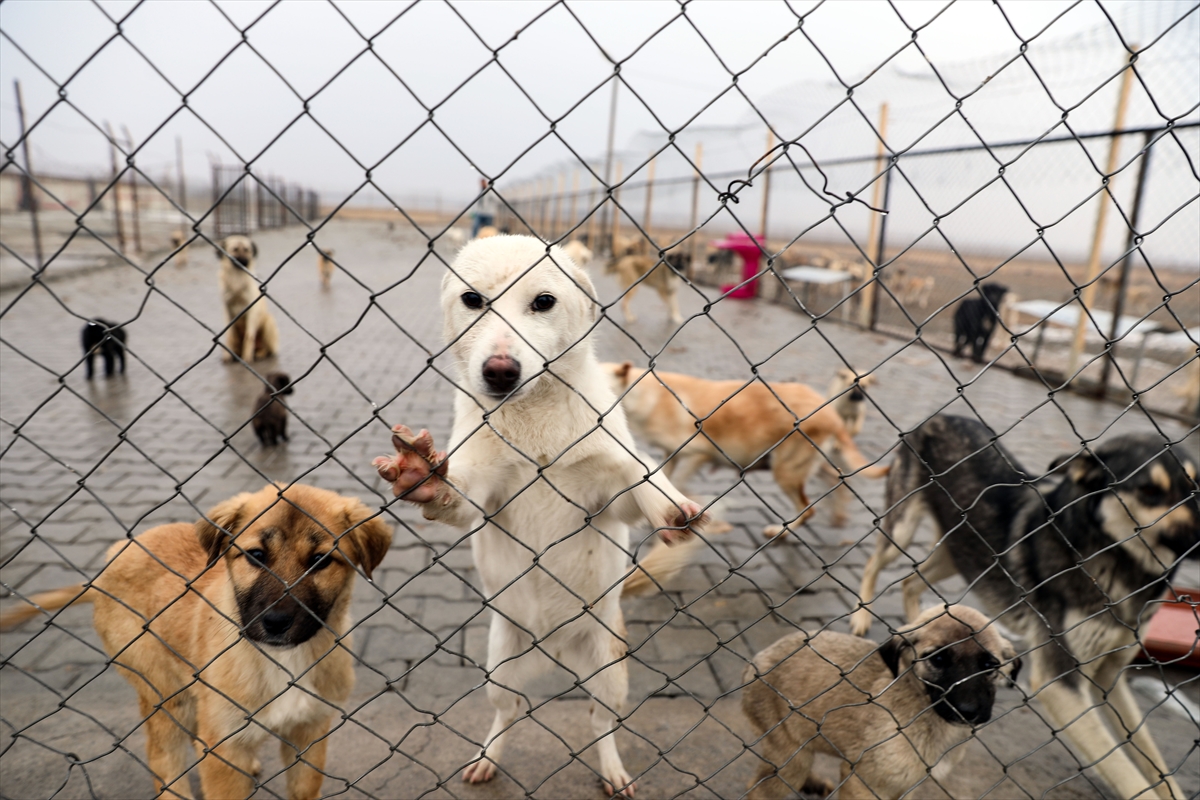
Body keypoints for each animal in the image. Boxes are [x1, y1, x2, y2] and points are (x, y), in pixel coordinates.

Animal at [0, 482, 391, 800]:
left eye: (321, 561)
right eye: (256, 556)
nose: (276, 623)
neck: (281, 660)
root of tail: (114, 556)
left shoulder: (308, 732)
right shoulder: (226, 743)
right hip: (164, 692)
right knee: (164, 760)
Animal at [374, 232, 705, 796]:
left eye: (543, 302)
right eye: (472, 300)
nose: (500, 371)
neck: (534, 420)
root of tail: (554, 650)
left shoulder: (610, 490)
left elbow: (641, 475)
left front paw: (671, 506)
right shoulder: (481, 492)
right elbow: (454, 493)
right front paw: (423, 473)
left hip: (609, 676)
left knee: (600, 722)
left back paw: (612, 769)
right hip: (500, 670)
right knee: (511, 711)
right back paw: (488, 757)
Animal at [744, 606, 1017, 800]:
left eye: (990, 665)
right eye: (938, 659)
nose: (967, 711)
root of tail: (756, 662)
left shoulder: (907, 786)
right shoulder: (863, 782)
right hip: (788, 752)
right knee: (759, 788)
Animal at [849, 412, 1195, 800]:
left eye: (1195, 486)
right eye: (1150, 491)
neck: (1119, 559)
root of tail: (940, 416)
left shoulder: (1109, 676)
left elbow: (1151, 759)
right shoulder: (1060, 682)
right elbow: (1129, 774)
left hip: (961, 554)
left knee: (911, 580)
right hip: (903, 530)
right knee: (875, 562)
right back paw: (862, 615)